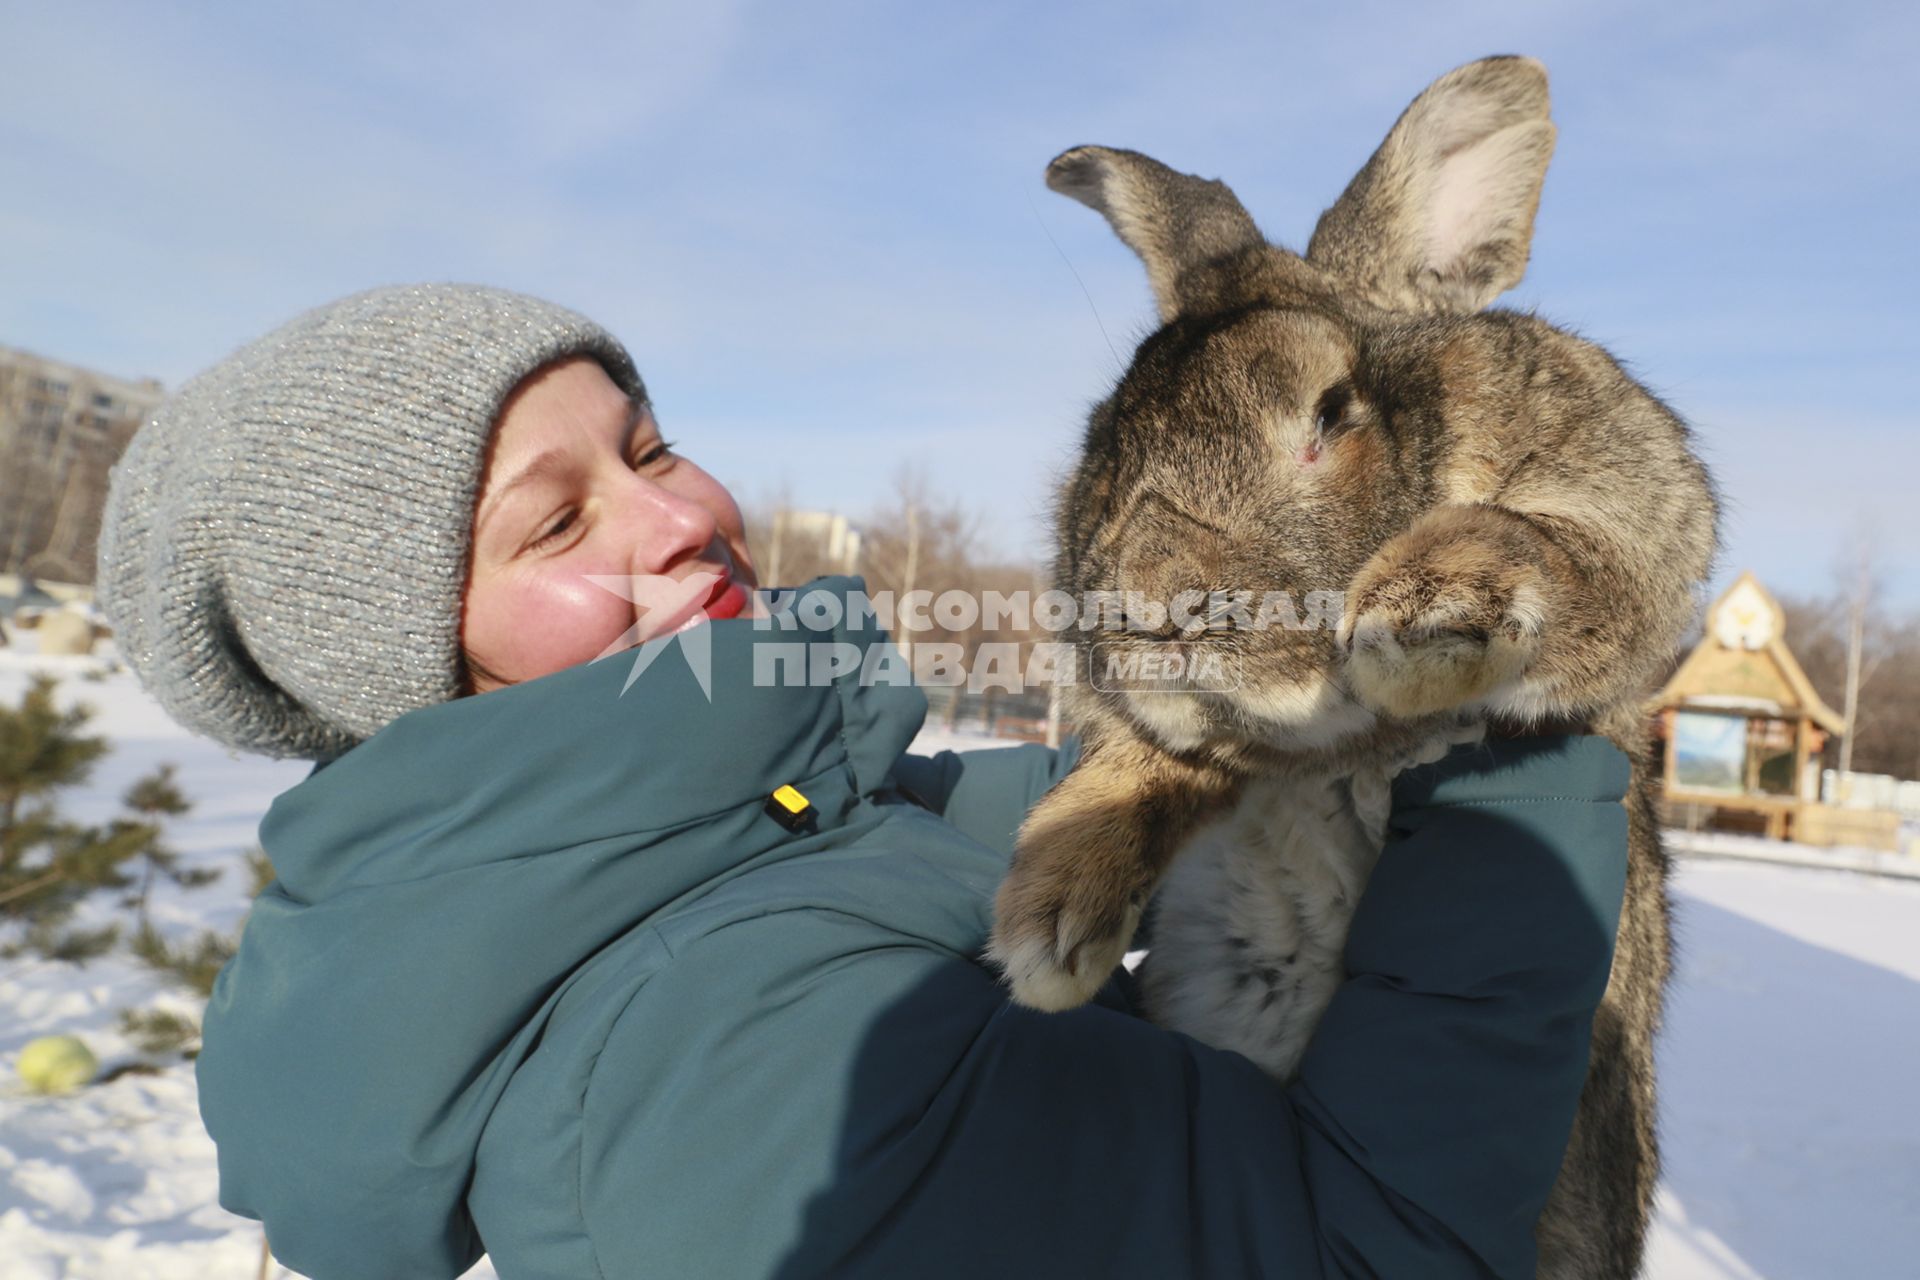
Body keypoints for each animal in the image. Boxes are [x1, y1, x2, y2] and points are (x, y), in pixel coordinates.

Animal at [983, 55, 1720, 1274]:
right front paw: (1051, 917)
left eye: (1334, 411)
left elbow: (1574, 556)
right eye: (1105, 443)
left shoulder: (1636, 506)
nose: (1155, 604)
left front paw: (1430, 599)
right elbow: (1165, 759)